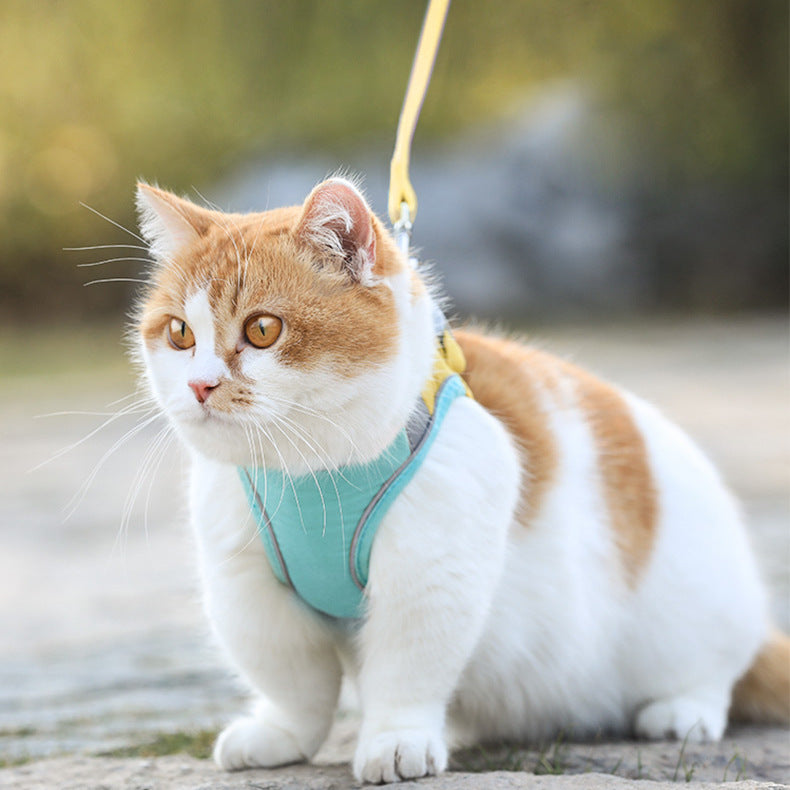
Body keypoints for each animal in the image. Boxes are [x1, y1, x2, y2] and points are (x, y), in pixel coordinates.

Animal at [133, 176, 788, 784]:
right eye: (180, 334)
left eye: (263, 330)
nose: (200, 385)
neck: (310, 472)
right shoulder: (248, 589)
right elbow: (292, 681)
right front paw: (282, 734)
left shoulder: (430, 575)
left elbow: (405, 668)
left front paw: (396, 739)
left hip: (693, 608)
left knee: (715, 671)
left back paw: (681, 710)